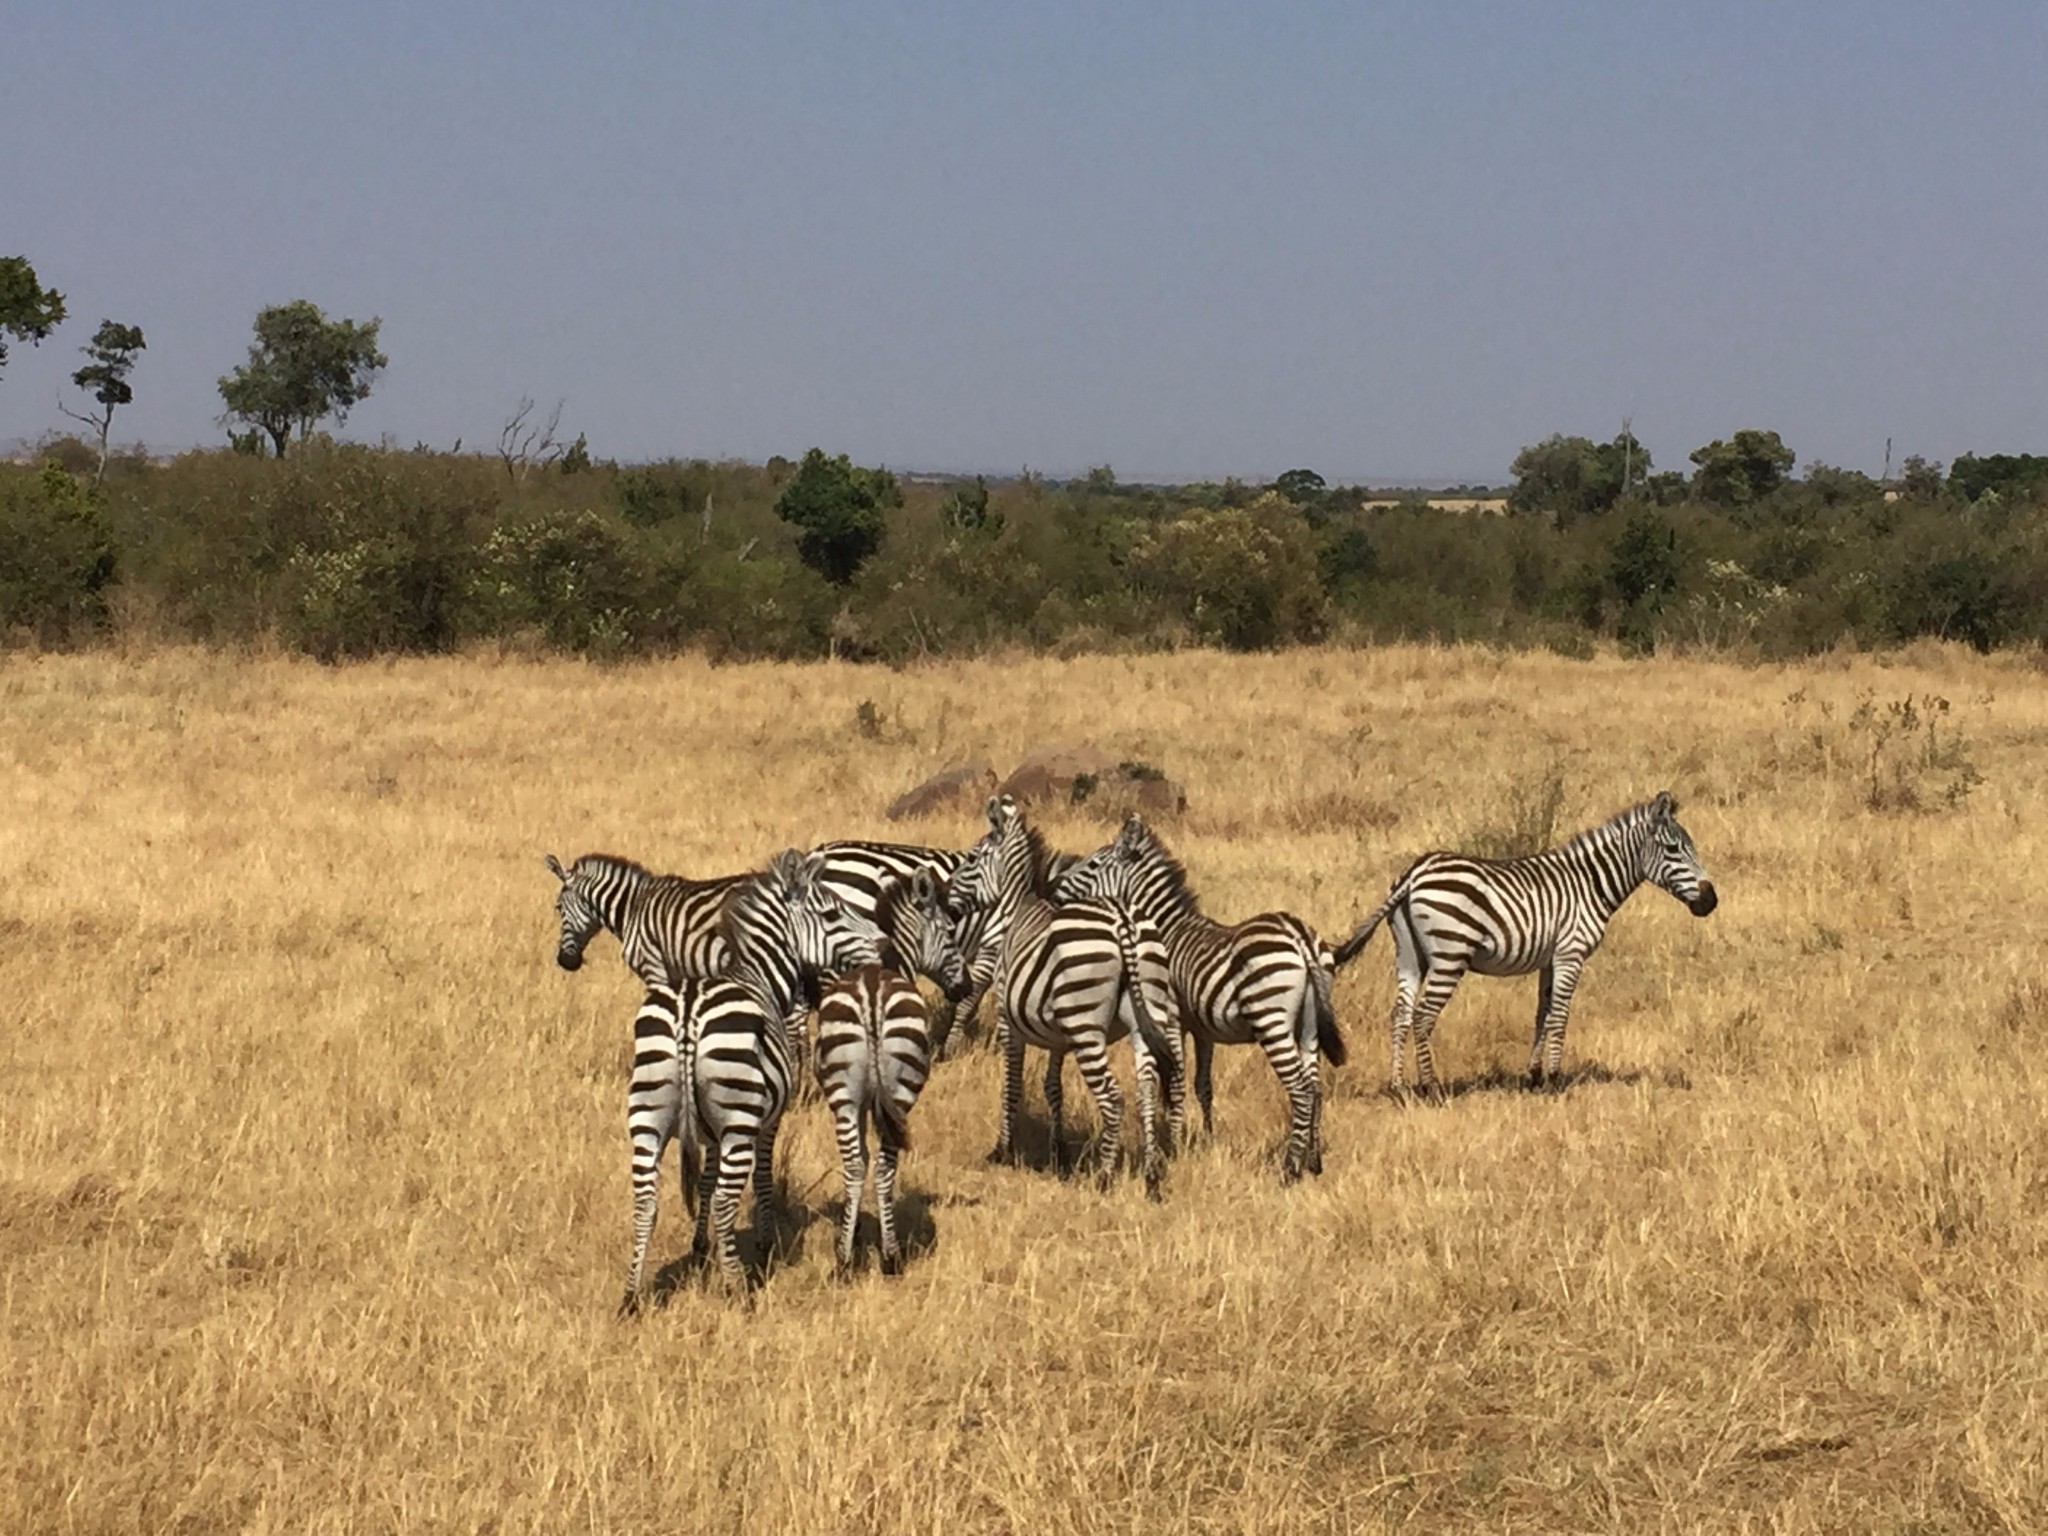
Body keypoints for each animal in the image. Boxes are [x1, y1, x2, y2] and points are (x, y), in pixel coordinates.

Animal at [610, 843, 892, 1310]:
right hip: (740, 1119)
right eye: (833, 912)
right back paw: (736, 1288)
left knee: (645, 1200)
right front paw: (762, 1244)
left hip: (646, 1115)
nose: (885, 943)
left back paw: (631, 1296)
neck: (758, 976)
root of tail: (688, 1013)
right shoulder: (768, 1119)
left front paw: (699, 1247)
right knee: (728, 1198)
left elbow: (705, 1182)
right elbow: (760, 1178)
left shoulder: (710, 1135)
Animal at [806, 872, 966, 1277]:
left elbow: (861, 1155)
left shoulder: (863, 1102)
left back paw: (850, 1258)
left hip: (846, 1097)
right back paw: (888, 1256)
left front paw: (855, 1231)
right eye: (951, 933)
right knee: (883, 1166)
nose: (966, 987)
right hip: (899, 1093)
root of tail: (872, 991)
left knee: (856, 1165)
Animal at [954, 798, 1187, 1196]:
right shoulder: (1058, 1037)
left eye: (971, 858)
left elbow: (1011, 1084)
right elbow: (1053, 1087)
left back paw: (1105, 1176)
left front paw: (1003, 1149)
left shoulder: (1007, 1019)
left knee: (1112, 1096)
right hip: (1147, 1015)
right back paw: (1152, 1175)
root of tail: (1122, 919)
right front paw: (1059, 1152)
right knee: (1147, 1086)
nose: (941, 896)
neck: (1018, 908)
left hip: (1087, 1028)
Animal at [1048, 819, 1351, 1187]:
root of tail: (1299, 936)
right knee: (1317, 1088)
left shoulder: (1171, 1017)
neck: (1167, 928)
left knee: (1302, 1090)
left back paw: (1289, 1169)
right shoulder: (1204, 1029)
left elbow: (1176, 1083)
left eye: (1091, 865)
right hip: (1308, 1024)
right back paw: (1313, 1161)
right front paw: (1205, 1141)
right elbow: (1203, 1086)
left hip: (1271, 1019)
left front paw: (1174, 1147)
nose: (1051, 890)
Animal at [1335, 794, 1720, 1097]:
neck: (1590, 883)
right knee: (1423, 1015)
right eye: (1673, 849)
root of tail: (1415, 872)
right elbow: (1561, 1016)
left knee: (1400, 1013)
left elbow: (1543, 1013)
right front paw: (1554, 1079)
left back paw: (1399, 1086)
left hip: (1410, 954)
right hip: (1450, 954)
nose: (1711, 901)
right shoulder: (1570, 954)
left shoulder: (1550, 959)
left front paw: (1533, 1077)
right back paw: (1430, 1088)